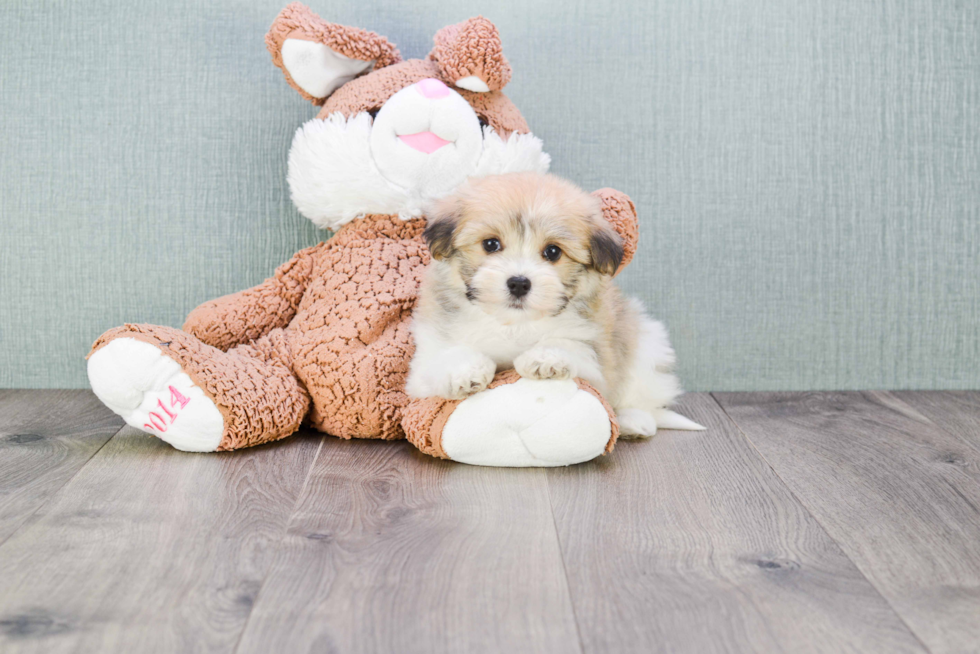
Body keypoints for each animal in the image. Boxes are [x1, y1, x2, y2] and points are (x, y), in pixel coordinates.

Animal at [406, 172, 704, 438]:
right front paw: (464, 371)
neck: (514, 323)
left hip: (647, 345)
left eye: (552, 252)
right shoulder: (425, 361)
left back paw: (633, 422)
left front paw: (544, 357)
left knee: (643, 398)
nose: (519, 283)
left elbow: (571, 346)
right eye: (490, 244)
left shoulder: (596, 357)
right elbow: (446, 356)